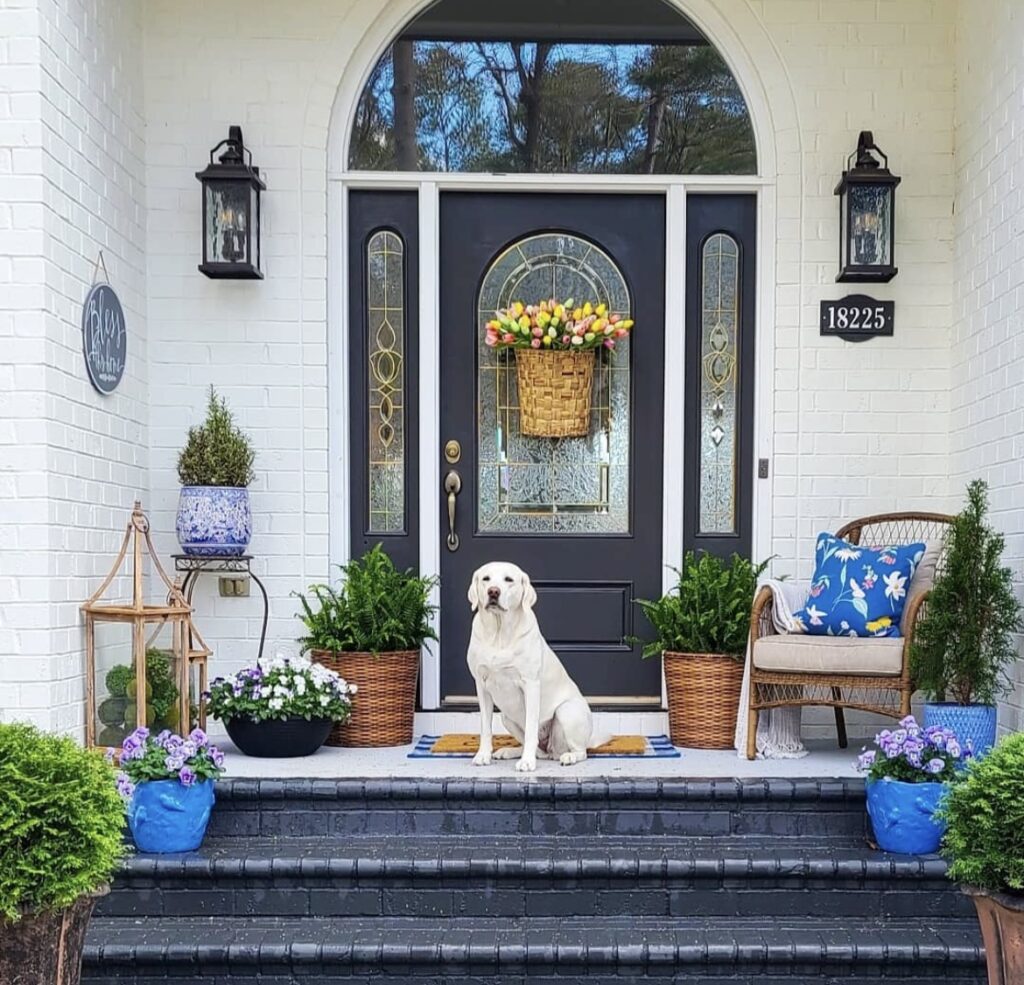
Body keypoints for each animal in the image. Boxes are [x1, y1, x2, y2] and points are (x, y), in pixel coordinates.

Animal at [464, 561, 593, 769]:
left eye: (509, 579)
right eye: (486, 579)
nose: (493, 591)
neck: (499, 633)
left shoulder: (530, 684)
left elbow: (531, 728)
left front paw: (526, 762)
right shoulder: (481, 685)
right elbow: (485, 728)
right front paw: (483, 755)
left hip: (566, 711)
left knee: (579, 751)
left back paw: (569, 757)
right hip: (506, 717)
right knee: (540, 751)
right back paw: (509, 752)